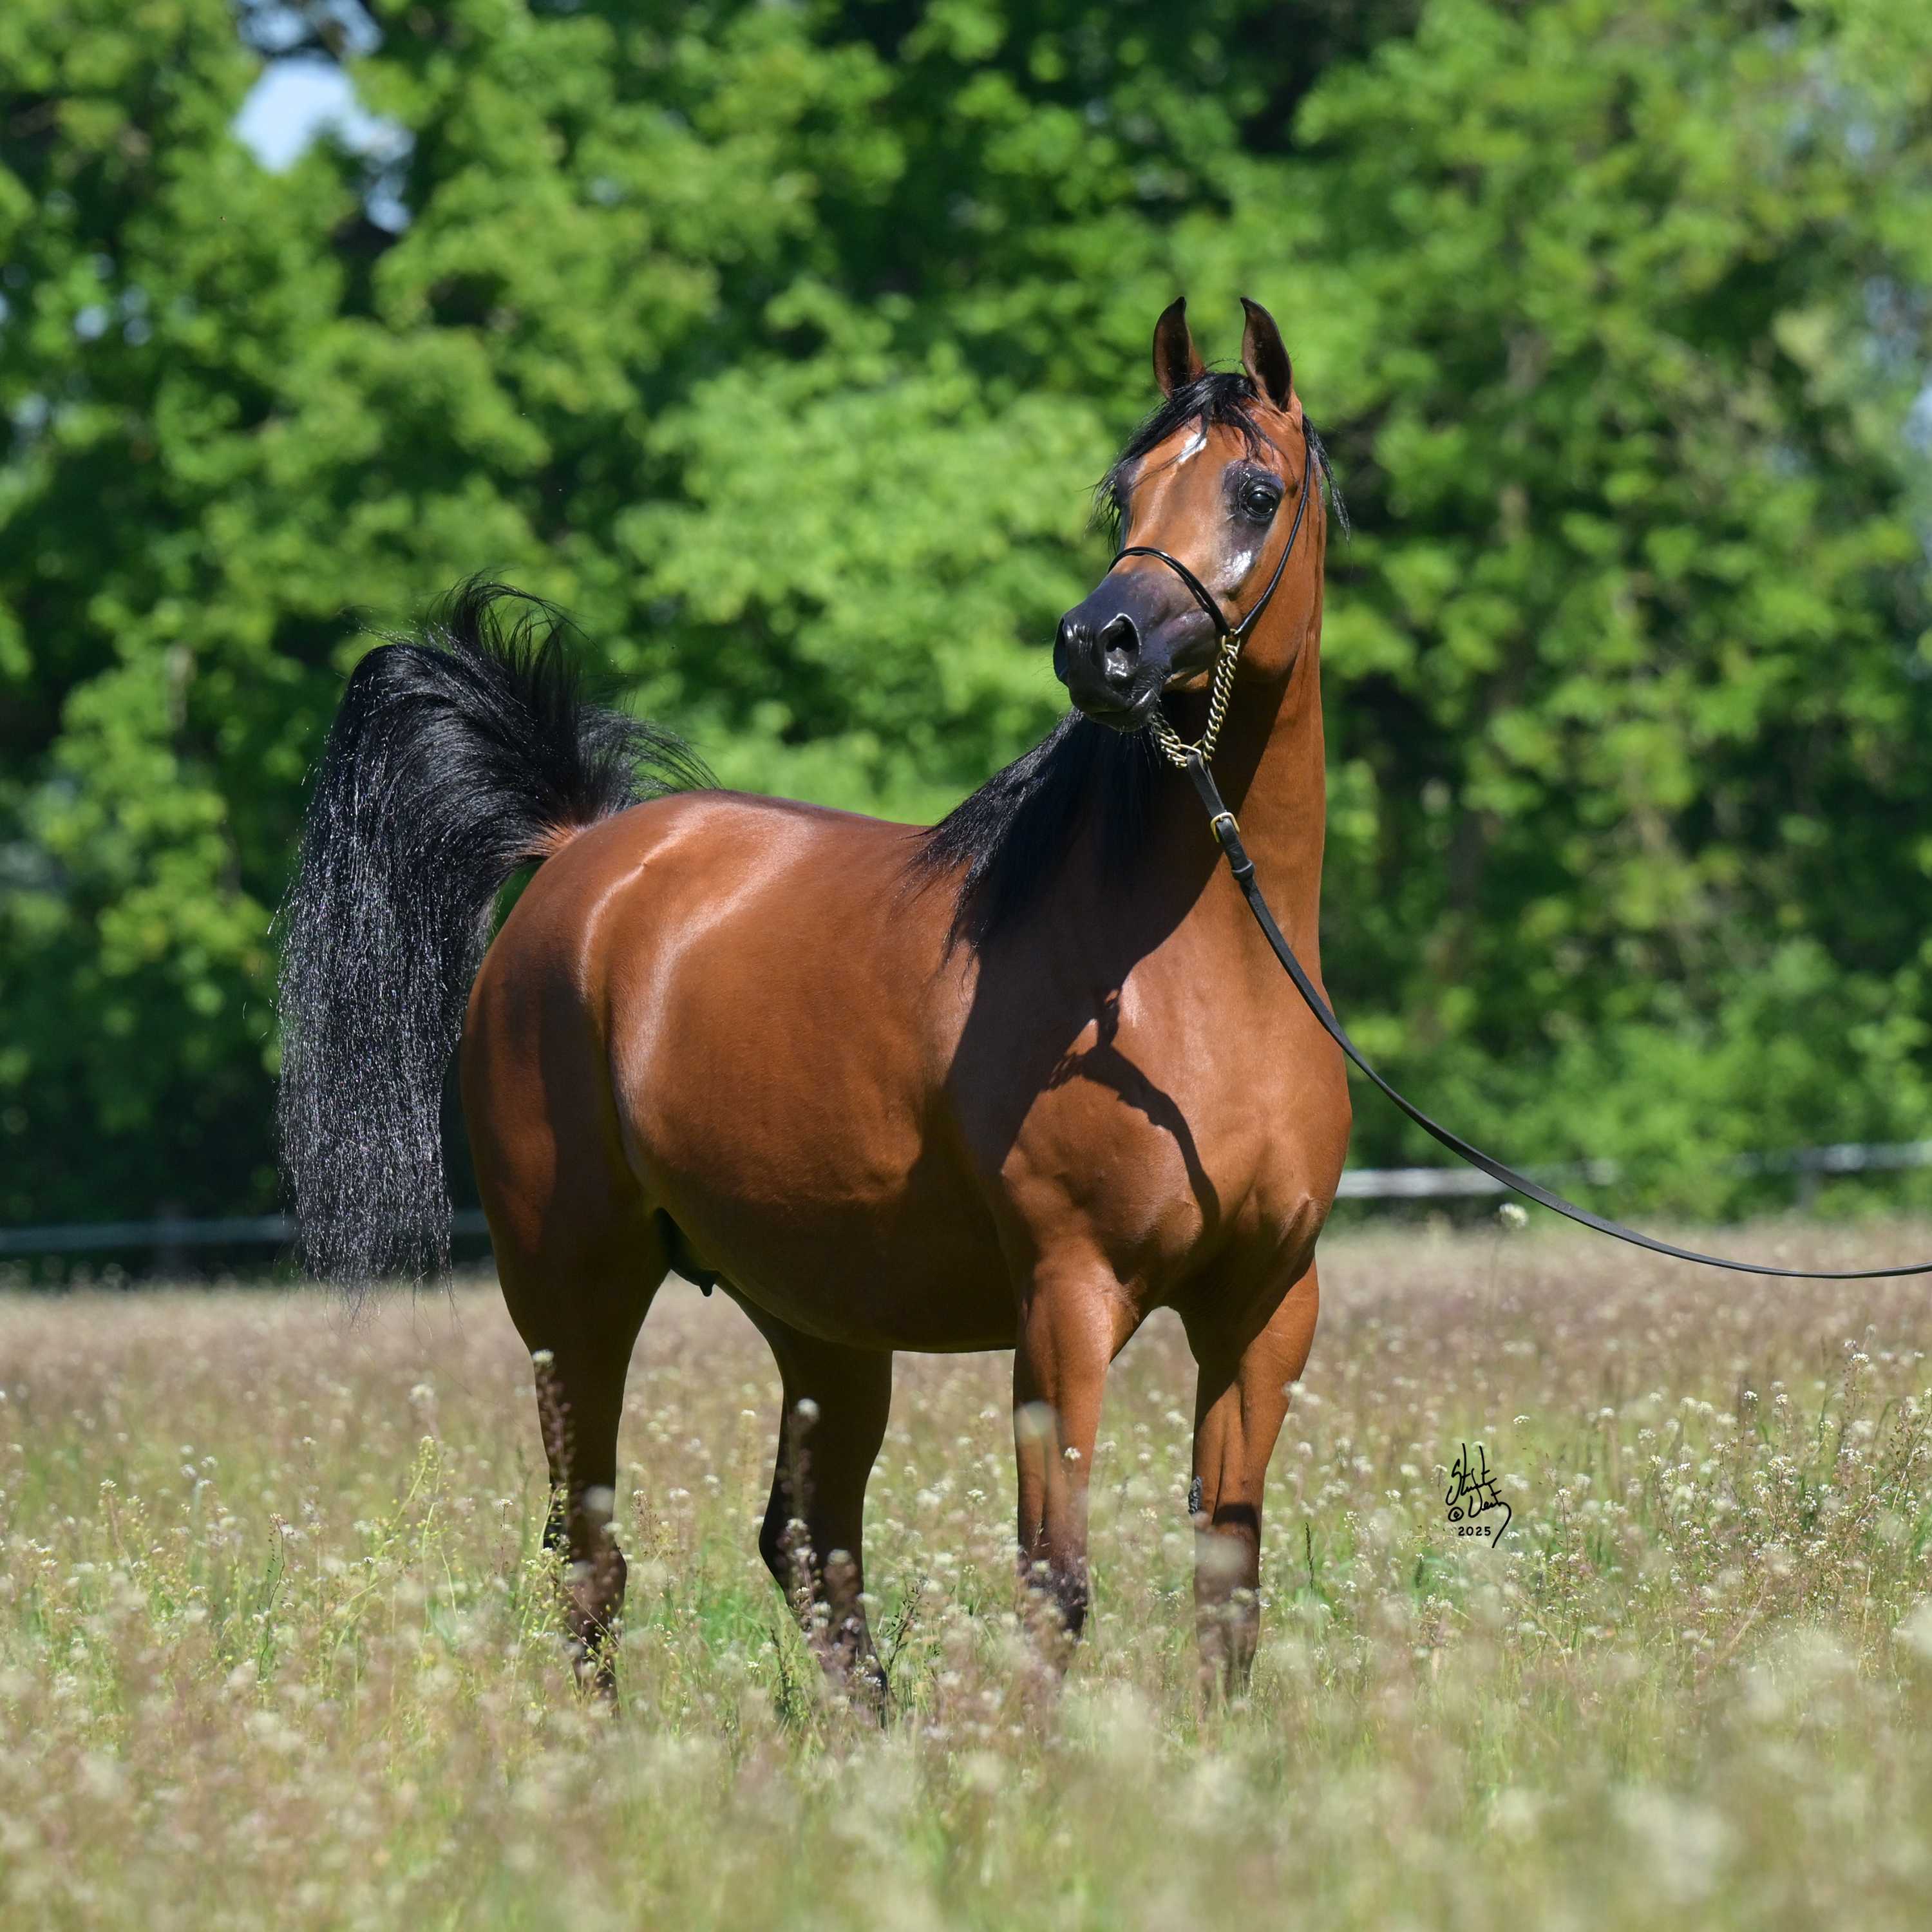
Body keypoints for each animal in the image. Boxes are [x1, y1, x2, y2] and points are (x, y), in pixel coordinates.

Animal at [277, 294, 1349, 1701]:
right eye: (1125, 490)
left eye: (1255, 489)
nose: (1096, 646)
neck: (1195, 986)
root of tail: (577, 851)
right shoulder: (1067, 1302)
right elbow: (1055, 1583)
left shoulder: (1265, 1308)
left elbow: (1229, 1589)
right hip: (574, 1293)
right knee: (591, 1558)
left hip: (821, 1320)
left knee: (803, 1543)